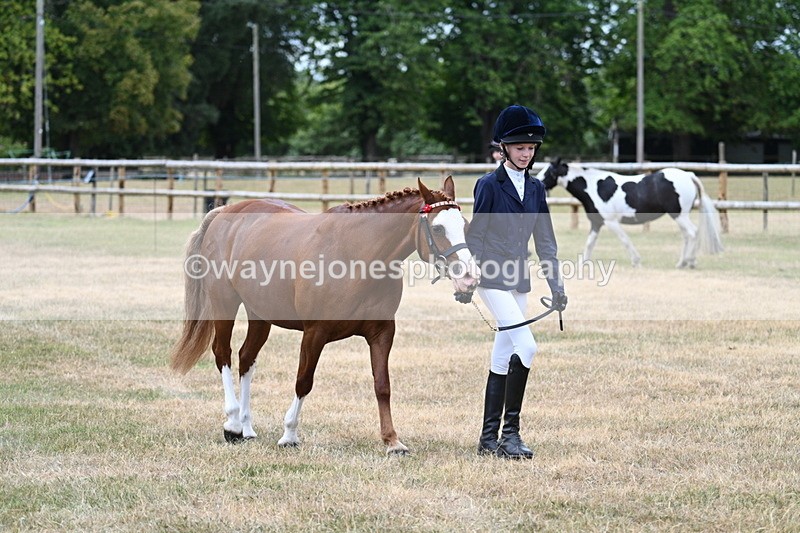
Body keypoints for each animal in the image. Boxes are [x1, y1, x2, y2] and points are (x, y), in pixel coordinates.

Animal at [169, 177, 479, 455]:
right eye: (438, 228)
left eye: (465, 226)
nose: (469, 278)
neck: (356, 258)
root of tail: (225, 212)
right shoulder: (314, 333)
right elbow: (304, 381)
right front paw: (289, 435)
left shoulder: (382, 334)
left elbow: (382, 386)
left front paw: (392, 441)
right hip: (224, 303)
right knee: (223, 353)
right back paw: (233, 424)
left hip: (260, 312)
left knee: (246, 358)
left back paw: (246, 428)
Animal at [537, 158, 724, 268]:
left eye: (550, 171)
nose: (538, 181)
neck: (594, 186)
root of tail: (689, 174)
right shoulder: (597, 223)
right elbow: (589, 244)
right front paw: (582, 264)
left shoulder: (611, 222)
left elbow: (624, 240)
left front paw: (636, 261)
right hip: (679, 217)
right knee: (687, 236)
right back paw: (683, 262)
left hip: (679, 215)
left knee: (692, 233)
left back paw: (689, 262)